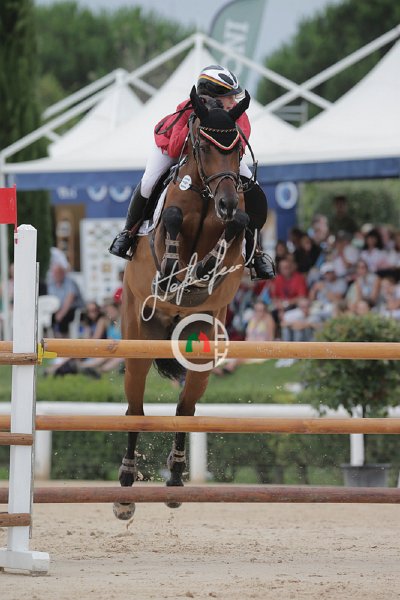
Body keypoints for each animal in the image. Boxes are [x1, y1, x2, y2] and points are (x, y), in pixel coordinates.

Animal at [114, 87, 252, 519]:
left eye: (237, 149)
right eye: (203, 146)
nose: (227, 201)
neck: (207, 196)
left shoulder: (234, 225)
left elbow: (238, 227)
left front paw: (204, 267)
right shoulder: (169, 222)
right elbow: (172, 217)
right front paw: (175, 267)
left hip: (201, 350)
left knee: (184, 410)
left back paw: (175, 480)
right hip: (137, 342)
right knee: (135, 412)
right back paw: (125, 488)